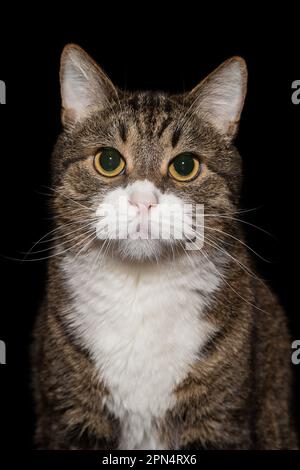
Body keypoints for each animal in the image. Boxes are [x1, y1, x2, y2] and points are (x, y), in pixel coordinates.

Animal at [31, 45, 298, 452]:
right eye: (108, 161)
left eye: (185, 166)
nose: (143, 201)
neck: (140, 291)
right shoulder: (69, 414)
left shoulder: (220, 420)